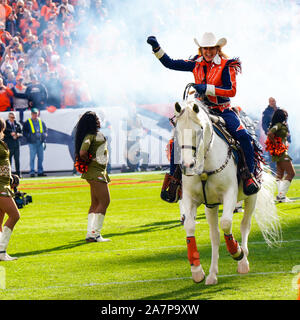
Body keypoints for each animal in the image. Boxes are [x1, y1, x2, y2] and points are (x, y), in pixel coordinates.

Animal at [173, 99, 282, 284]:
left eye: (199, 129)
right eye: (177, 130)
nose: (187, 165)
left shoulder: (229, 193)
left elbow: (226, 223)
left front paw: (236, 251)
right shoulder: (190, 197)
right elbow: (189, 226)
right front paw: (196, 270)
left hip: (251, 197)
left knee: (245, 225)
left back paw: (243, 262)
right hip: (211, 206)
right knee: (215, 236)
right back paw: (212, 275)